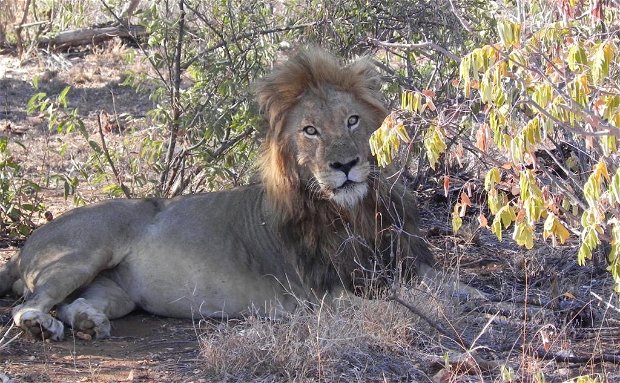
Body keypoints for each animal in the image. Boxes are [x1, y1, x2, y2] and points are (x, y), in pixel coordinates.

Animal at [0, 48, 436, 342]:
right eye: (310, 130)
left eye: (352, 120)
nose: (345, 165)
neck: (352, 212)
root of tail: (23, 247)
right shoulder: (323, 296)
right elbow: (397, 306)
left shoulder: (407, 264)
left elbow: (438, 287)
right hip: (83, 255)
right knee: (27, 306)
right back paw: (42, 326)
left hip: (114, 291)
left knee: (75, 303)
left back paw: (90, 323)